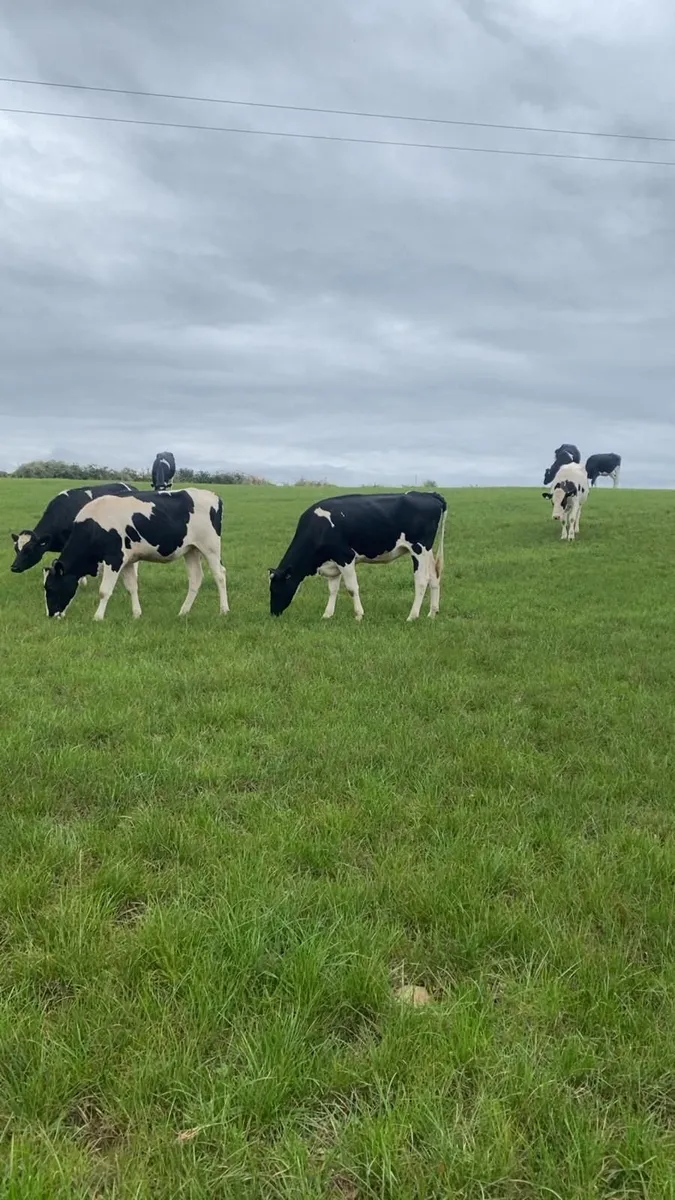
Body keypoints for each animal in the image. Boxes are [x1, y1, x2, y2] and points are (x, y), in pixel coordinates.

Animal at [42, 488, 229, 621]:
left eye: (50, 587)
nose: (51, 614)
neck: (94, 526)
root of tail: (212, 495)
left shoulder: (114, 559)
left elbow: (104, 591)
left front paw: (98, 617)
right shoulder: (128, 561)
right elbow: (132, 587)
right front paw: (137, 614)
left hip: (210, 547)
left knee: (219, 575)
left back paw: (223, 610)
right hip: (191, 550)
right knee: (196, 578)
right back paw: (183, 612)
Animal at [269, 490, 447, 622]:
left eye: (275, 589)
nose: (273, 613)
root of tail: (429, 494)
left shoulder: (345, 557)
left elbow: (351, 588)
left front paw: (359, 615)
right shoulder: (332, 562)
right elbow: (332, 589)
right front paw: (327, 615)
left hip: (419, 549)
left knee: (422, 580)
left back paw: (412, 616)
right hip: (427, 551)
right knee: (434, 576)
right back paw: (432, 613)